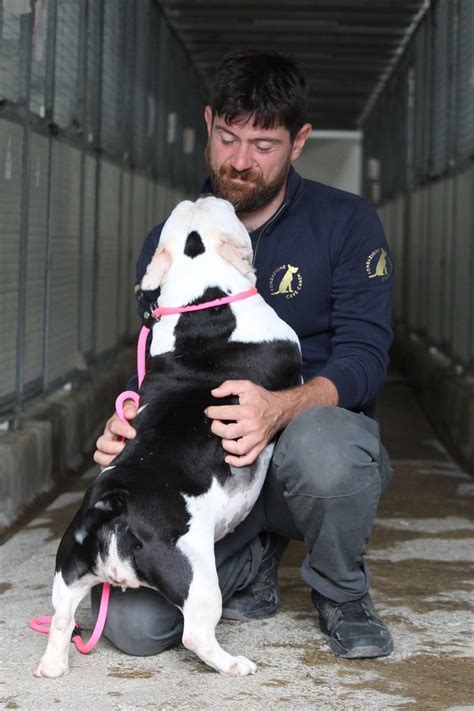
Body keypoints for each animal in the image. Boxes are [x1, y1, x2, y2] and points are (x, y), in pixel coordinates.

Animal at [34, 195, 300, 680]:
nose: (207, 193)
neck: (204, 301)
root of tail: (115, 503)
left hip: (69, 569)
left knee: (61, 618)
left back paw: (53, 666)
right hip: (196, 576)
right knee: (196, 633)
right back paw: (233, 665)